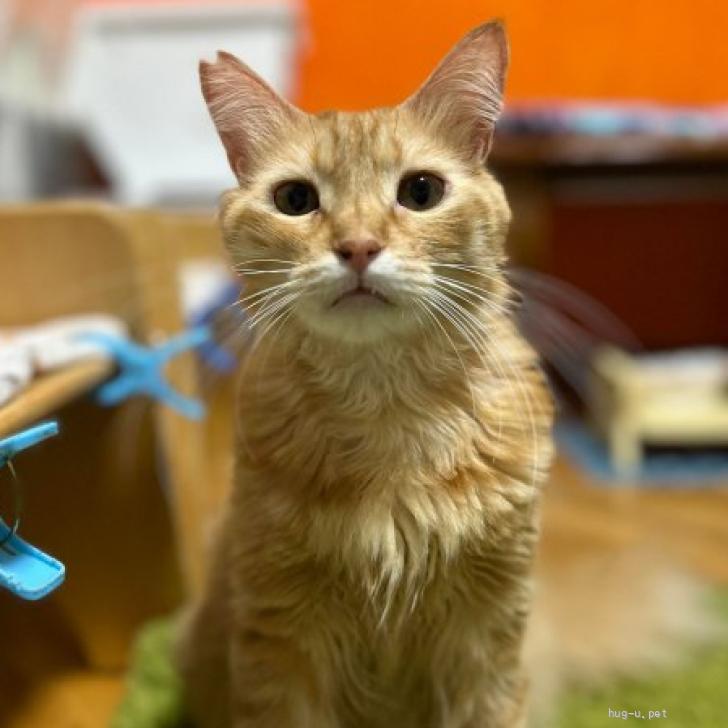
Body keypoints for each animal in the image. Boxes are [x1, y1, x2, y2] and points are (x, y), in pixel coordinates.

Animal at [176, 20, 712, 728]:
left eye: (421, 192)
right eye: (295, 200)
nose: (358, 247)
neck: (387, 418)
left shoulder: (485, 637)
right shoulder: (281, 639)